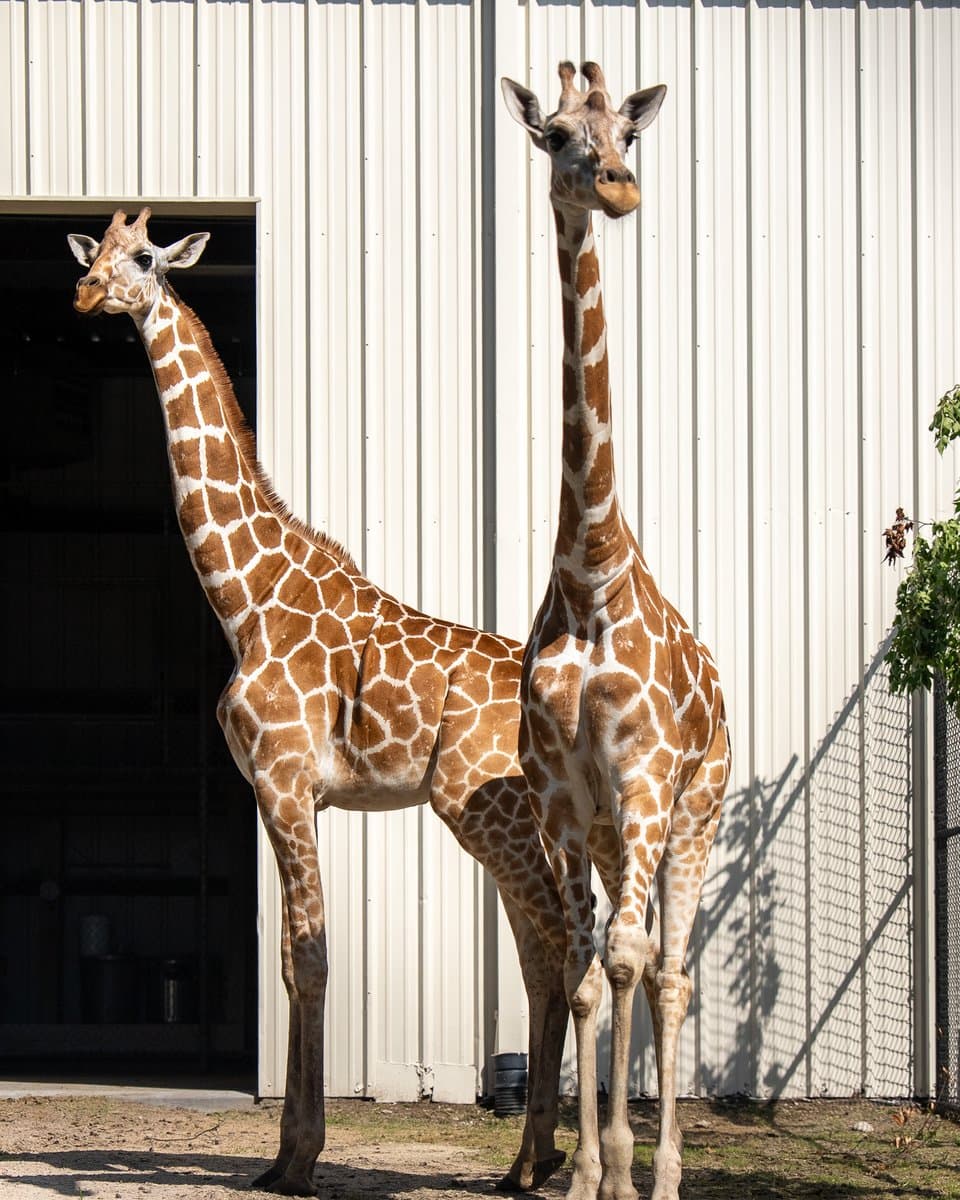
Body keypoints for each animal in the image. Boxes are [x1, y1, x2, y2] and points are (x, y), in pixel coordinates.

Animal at [67, 207, 574, 1198]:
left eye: (143, 257)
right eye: (96, 251)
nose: (86, 291)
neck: (245, 597)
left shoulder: (286, 780)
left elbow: (310, 955)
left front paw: (300, 1159)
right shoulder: (279, 793)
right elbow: (292, 963)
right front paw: (280, 1158)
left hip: (478, 810)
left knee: (565, 942)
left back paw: (552, 1162)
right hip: (513, 820)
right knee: (543, 953)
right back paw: (531, 1159)